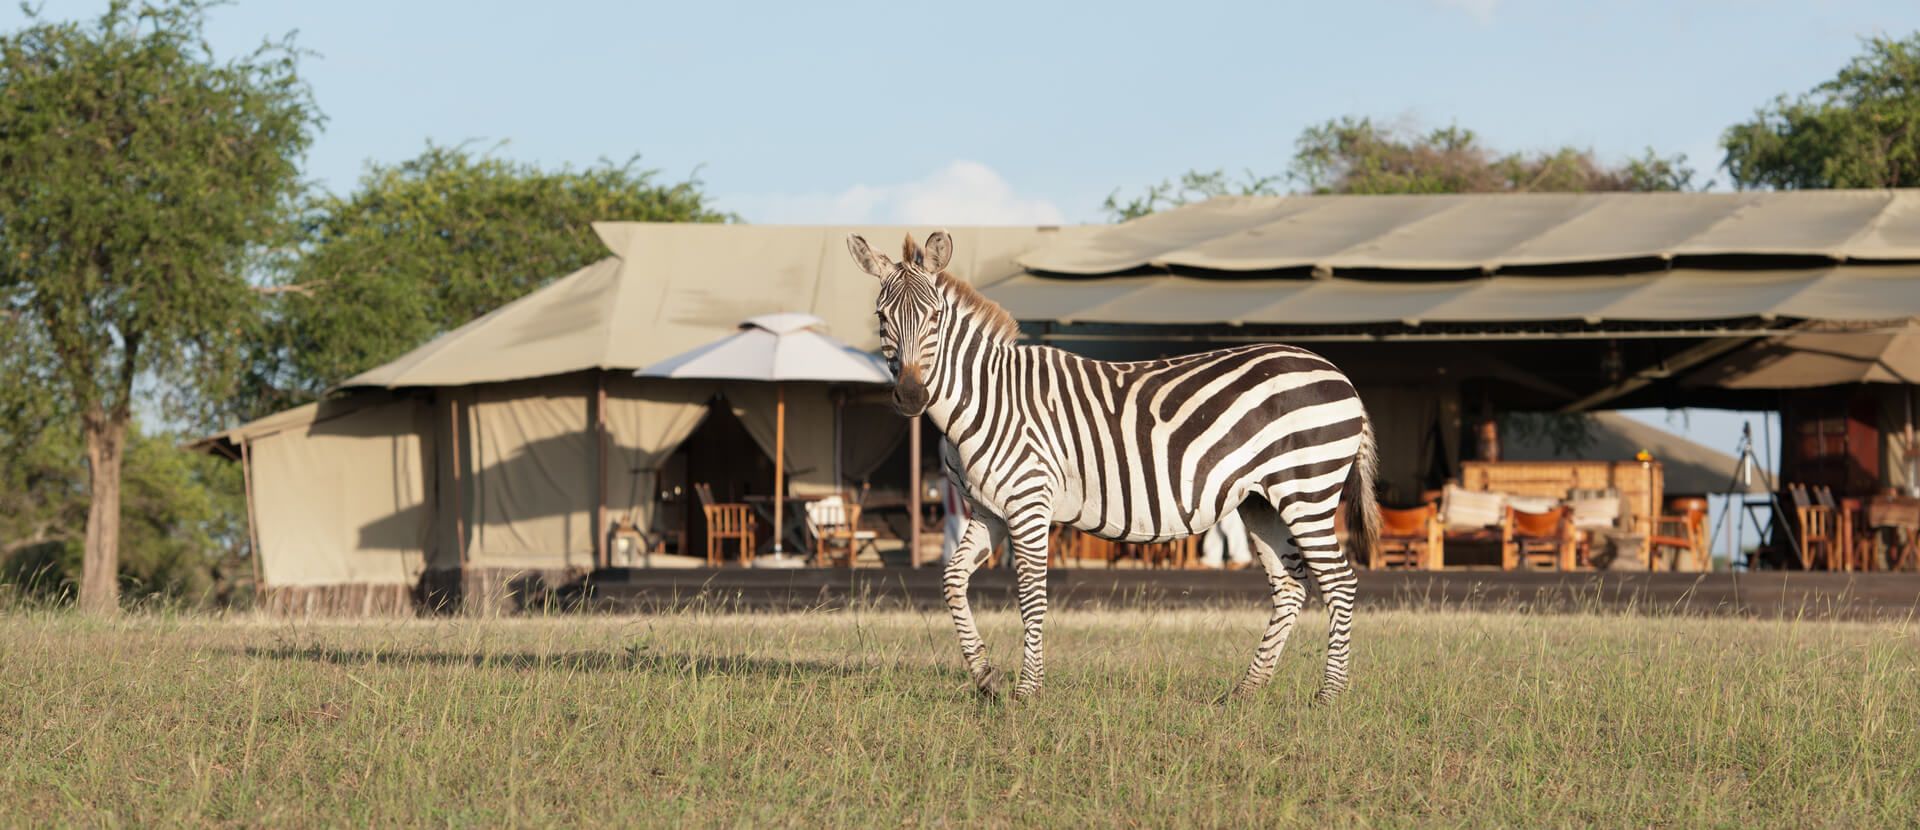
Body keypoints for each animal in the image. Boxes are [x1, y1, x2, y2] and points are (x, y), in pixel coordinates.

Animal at [844, 230, 1382, 703]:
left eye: (935, 316)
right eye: (881, 317)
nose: (912, 397)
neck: (986, 399)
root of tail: (1337, 372)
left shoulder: (1028, 503)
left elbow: (1031, 595)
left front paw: (1028, 690)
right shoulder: (990, 510)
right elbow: (953, 580)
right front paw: (986, 677)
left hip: (1306, 490)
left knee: (1340, 582)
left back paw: (1329, 695)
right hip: (1261, 501)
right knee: (1290, 587)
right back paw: (1248, 691)